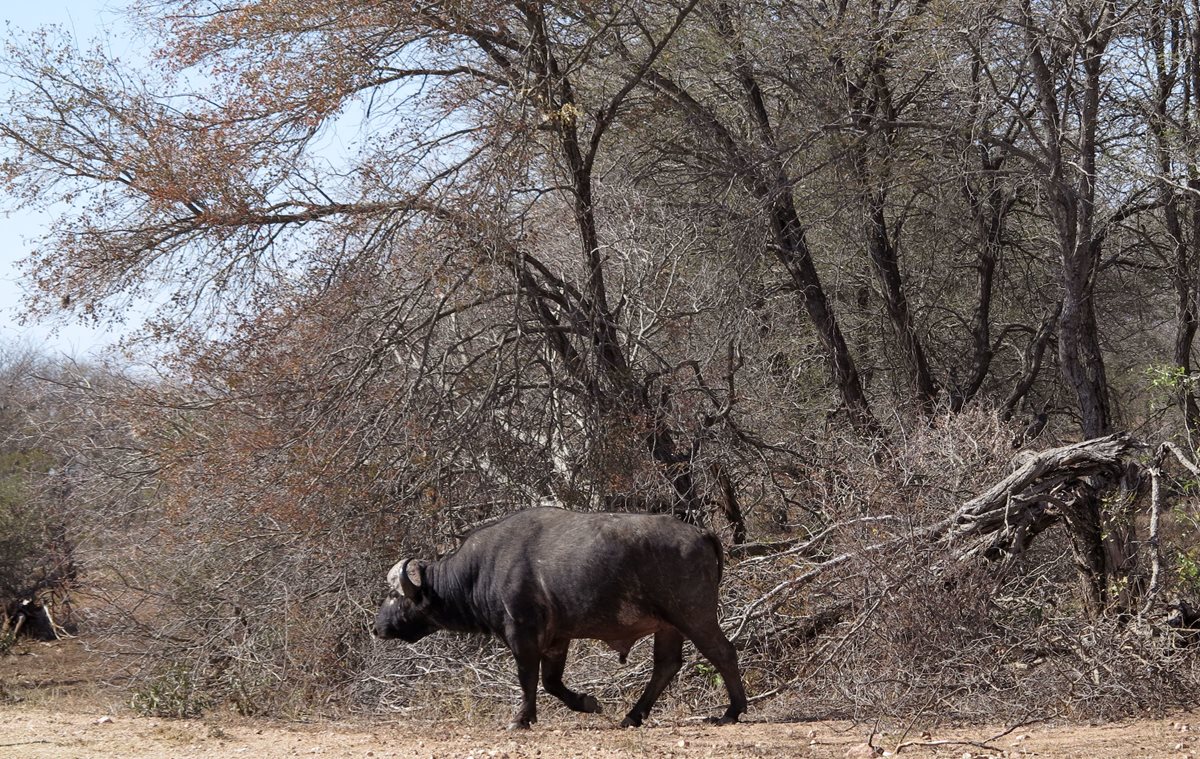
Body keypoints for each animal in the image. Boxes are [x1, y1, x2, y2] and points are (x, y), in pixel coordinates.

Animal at [369, 509, 744, 730]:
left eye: (394, 595)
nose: (377, 627)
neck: (480, 569)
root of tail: (701, 533)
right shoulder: (556, 640)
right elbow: (551, 682)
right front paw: (587, 703)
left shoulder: (522, 635)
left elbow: (527, 679)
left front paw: (521, 720)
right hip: (668, 626)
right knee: (666, 666)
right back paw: (632, 716)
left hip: (693, 615)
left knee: (723, 653)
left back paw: (733, 711)